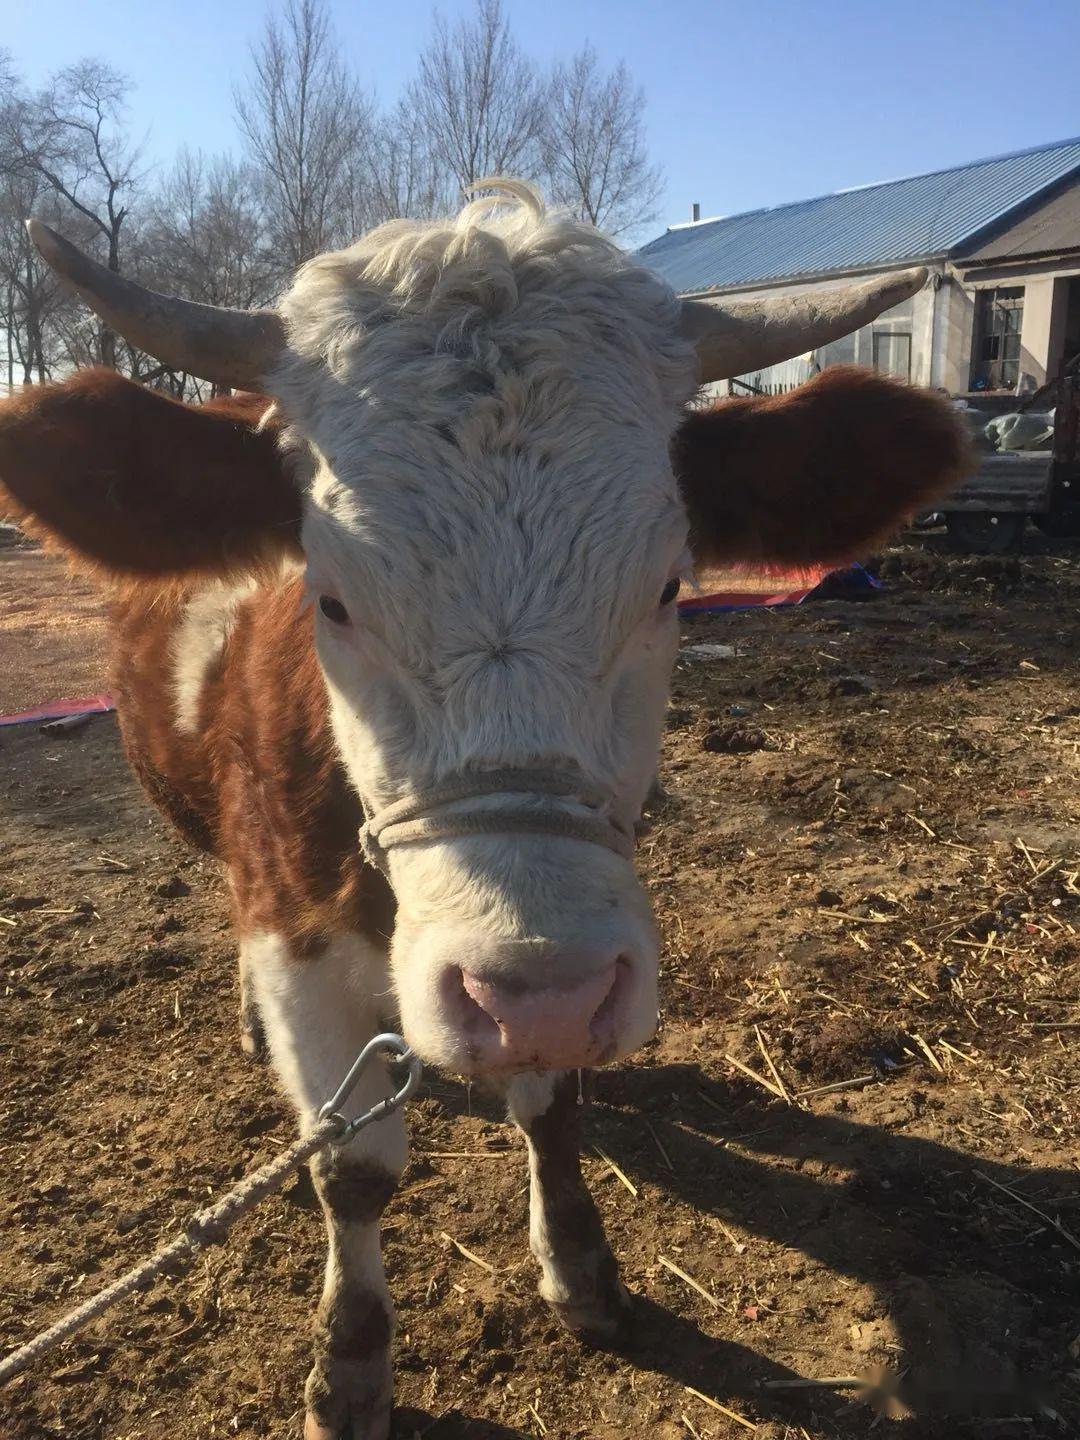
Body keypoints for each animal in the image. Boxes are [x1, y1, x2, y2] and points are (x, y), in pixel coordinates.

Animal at [0, 182, 967, 1440]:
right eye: (330, 598)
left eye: (669, 586)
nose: (527, 990)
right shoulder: (298, 945)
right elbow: (352, 1168)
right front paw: (350, 1365)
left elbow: (551, 1109)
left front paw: (583, 1271)